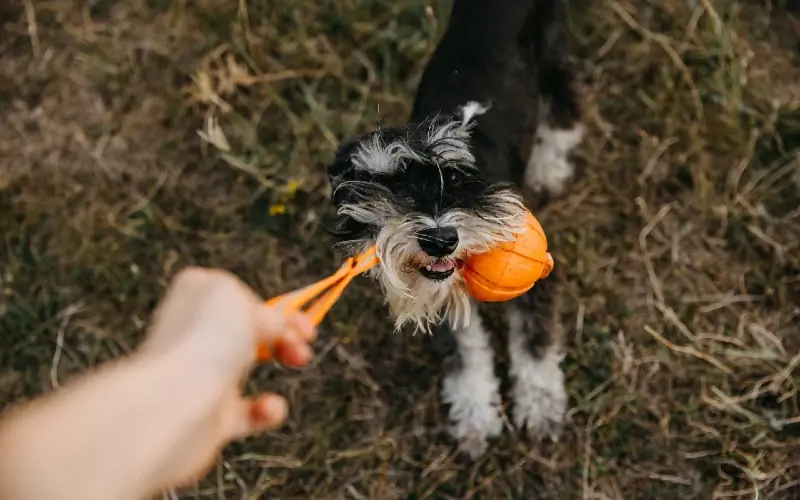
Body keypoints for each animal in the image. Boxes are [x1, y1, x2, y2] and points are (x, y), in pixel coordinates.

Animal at [324, 0, 580, 458]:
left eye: (459, 177)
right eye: (392, 182)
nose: (439, 240)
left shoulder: (536, 281)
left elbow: (534, 345)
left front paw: (542, 408)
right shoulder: (437, 293)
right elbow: (467, 355)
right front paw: (476, 418)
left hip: (554, 52)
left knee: (565, 109)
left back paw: (549, 168)